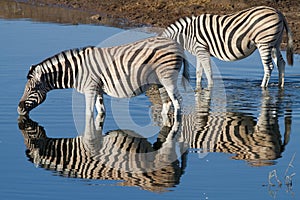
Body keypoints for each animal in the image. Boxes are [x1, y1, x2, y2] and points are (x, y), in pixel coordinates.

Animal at [17, 36, 190, 133]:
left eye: (32, 89)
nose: (19, 109)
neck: (77, 70)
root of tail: (176, 44)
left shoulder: (90, 89)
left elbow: (88, 113)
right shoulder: (98, 89)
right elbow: (101, 111)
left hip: (168, 78)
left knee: (178, 102)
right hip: (160, 82)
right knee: (167, 103)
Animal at [161, 5, 294, 88]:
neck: (187, 35)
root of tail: (279, 12)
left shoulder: (202, 49)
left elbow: (208, 72)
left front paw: (210, 88)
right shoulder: (199, 52)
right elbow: (199, 73)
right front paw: (199, 89)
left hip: (264, 43)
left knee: (269, 66)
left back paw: (262, 87)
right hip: (275, 44)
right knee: (281, 63)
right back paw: (280, 86)